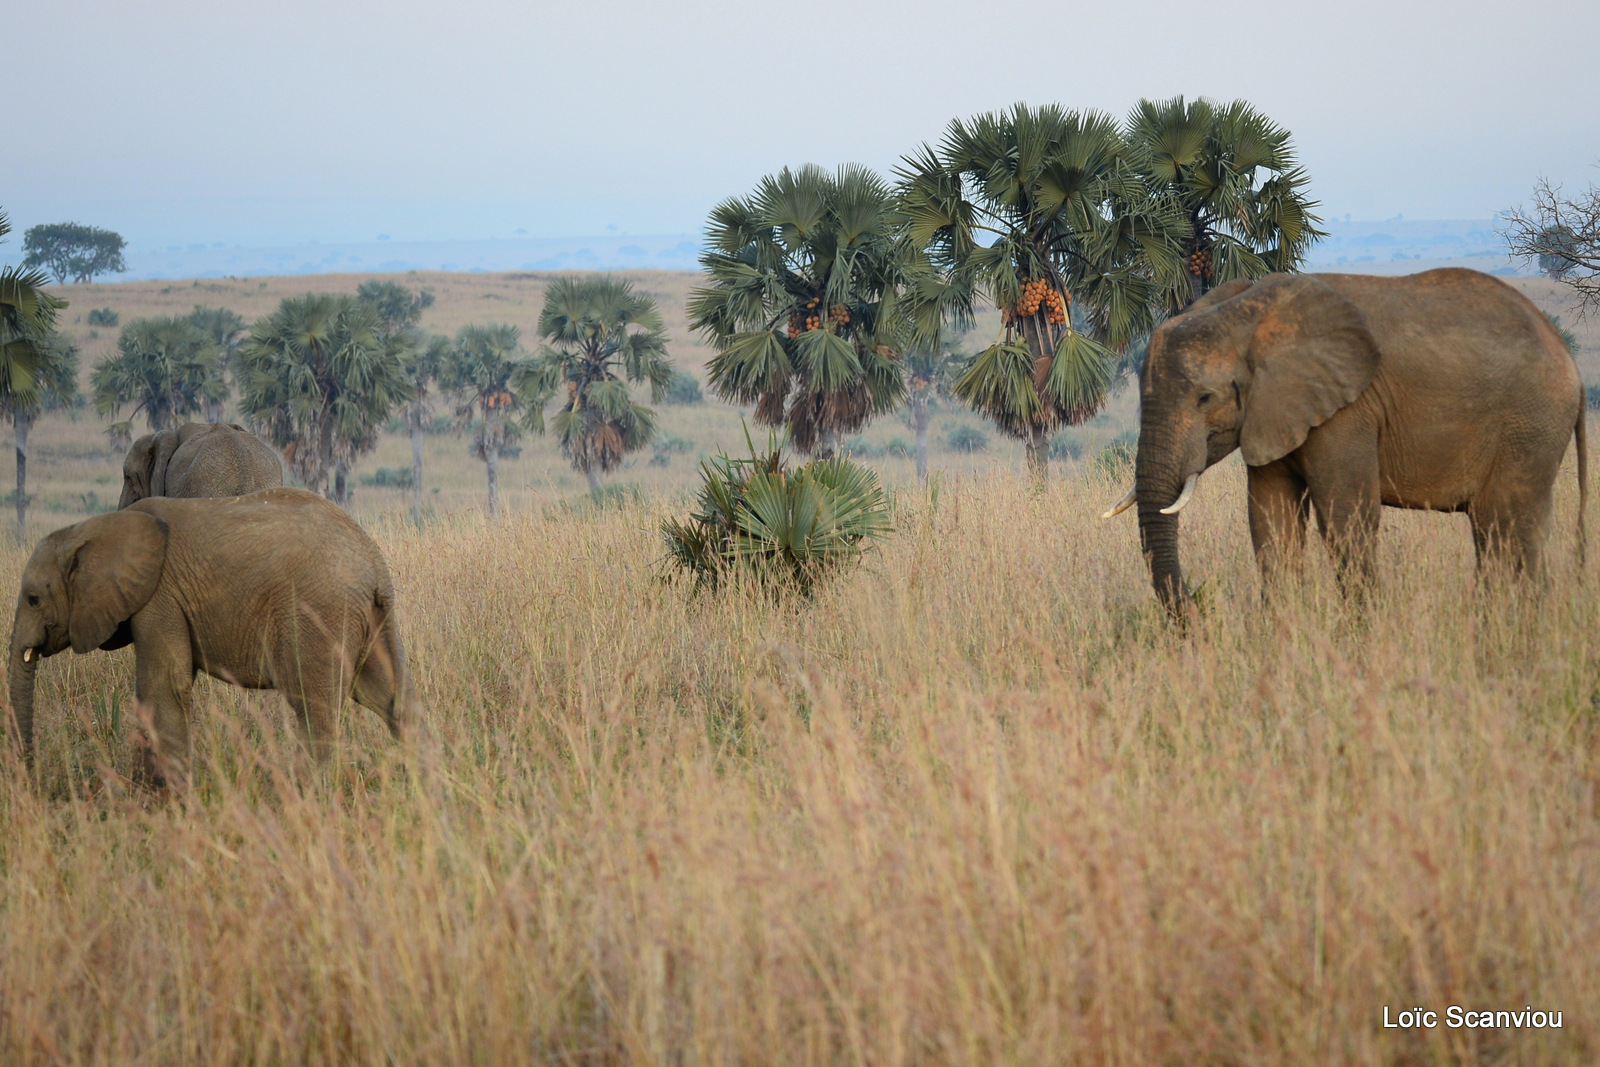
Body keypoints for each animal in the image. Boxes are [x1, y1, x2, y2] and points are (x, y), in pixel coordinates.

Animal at [6, 486, 419, 783]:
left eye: (33, 599)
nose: (32, 777)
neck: (89, 529)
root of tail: (374, 564)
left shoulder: (160, 597)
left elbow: (162, 687)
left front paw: (166, 799)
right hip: (373, 617)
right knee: (392, 699)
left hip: (319, 612)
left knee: (314, 705)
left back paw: (311, 795)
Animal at [1113, 268, 1587, 617]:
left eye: (1205, 398)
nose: (1199, 618)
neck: (1246, 312)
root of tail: (1570, 363)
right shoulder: (1272, 410)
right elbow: (1271, 523)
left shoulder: (1348, 411)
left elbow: (1346, 519)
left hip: (1528, 426)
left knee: (1505, 530)